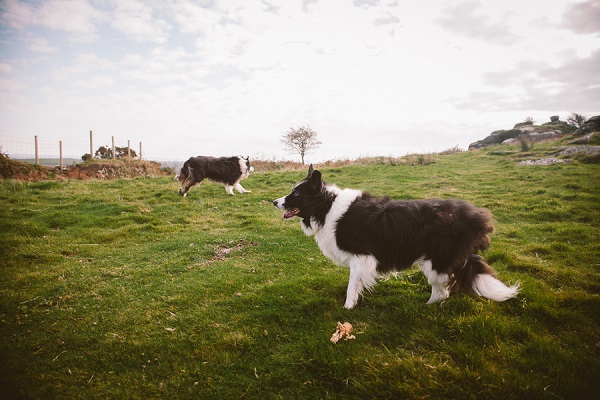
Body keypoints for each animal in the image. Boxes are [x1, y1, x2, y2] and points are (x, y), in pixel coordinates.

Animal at [274, 164, 516, 308]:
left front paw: (347, 308)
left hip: (436, 260)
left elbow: (351, 286)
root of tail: (476, 217)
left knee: (442, 289)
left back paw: (427, 306)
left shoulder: (361, 256)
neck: (326, 206)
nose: (274, 201)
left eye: (296, 193)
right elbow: (356, 285)